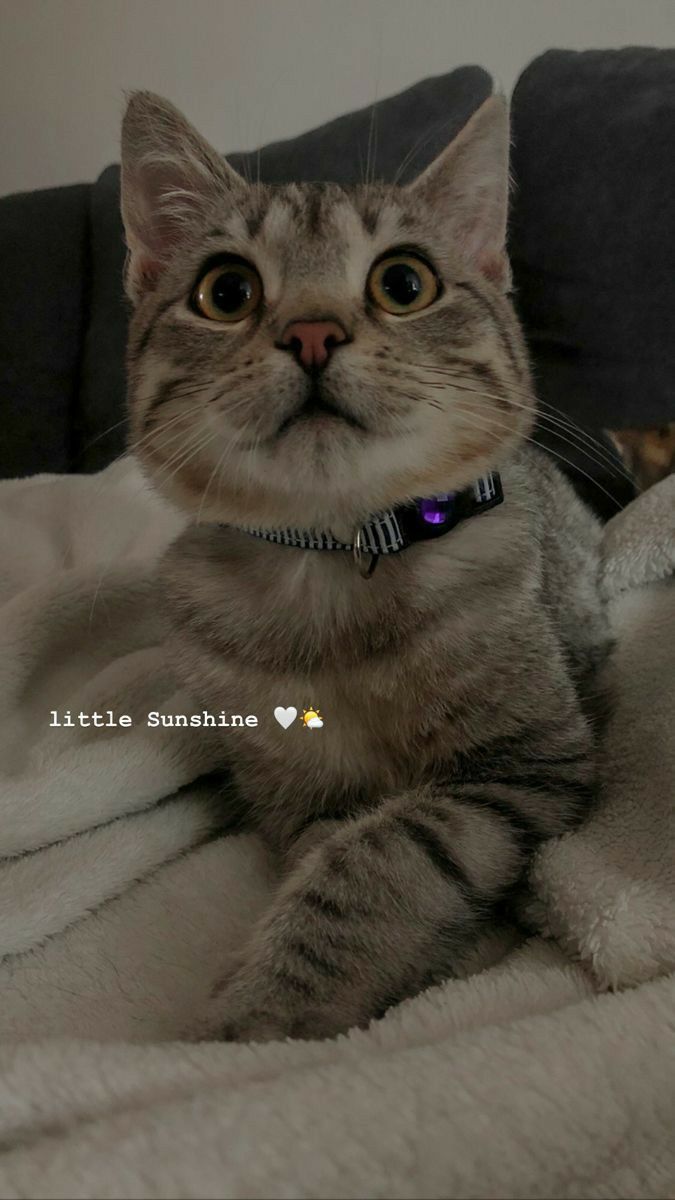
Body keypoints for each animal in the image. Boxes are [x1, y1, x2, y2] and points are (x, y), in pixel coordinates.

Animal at [118, 88, 607, 1041]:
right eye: (225, 291)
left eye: (404, 282)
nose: (312, 331)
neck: (338, 566)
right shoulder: (293, 795)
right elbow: (330, 850)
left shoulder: (529, 764)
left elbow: (389, 854)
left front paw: (263, 1013)